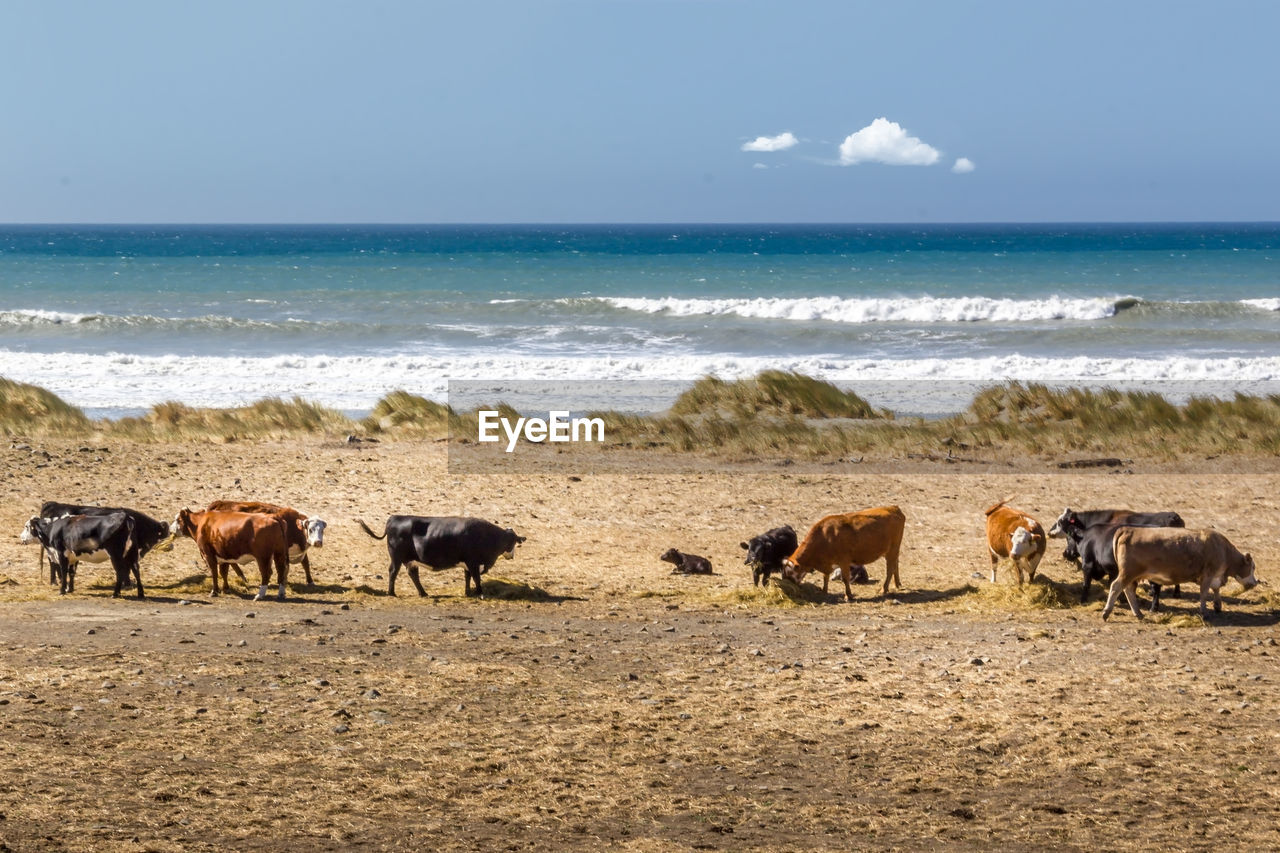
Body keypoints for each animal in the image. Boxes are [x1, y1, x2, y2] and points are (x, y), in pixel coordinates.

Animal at [32, 499, 174, 584]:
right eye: (158, 535)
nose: (170, 546)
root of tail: (52, 504)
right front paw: (127, 583)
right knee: (53, 562)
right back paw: (56, 581)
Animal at [355, 512, 524, 596]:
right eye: (513, 542)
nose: (512, 556)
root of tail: (394, 517)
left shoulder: (468, 564)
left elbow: (468, 577)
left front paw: (468, 592)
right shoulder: (473, 562)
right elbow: (476, 578)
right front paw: (480, 593)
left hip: (411, 560)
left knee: (413, 574)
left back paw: (423, 593)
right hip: (396, 557)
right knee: (393, 572)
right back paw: (392, 593)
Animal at [773, 504, 906, 596]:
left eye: (788, 572)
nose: (786, 584)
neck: (825, 537)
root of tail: (894, 508)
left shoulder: (844, 561)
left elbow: (845, 578)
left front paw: (848, 595)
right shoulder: (827, 562)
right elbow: (825, 577)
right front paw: (824, 591)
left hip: (892, 550)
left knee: (890, 569)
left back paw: (884, 589)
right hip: (894, 550)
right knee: (896, 565)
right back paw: (897, 584)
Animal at [1100, 525, 1259, 617]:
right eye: (1252, 567)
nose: (1255, 582)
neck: (1222, 549)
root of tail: (1128, 530)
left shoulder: (1215, 576)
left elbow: (1216, 589)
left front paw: (1217, 605)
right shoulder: (1207, 575)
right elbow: (1204, 593)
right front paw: (1204, 611)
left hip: (1132, 576)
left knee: (1128, 590)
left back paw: (1138, 613)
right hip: (1128, 573)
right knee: (1116, 586)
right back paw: (1107, 612)